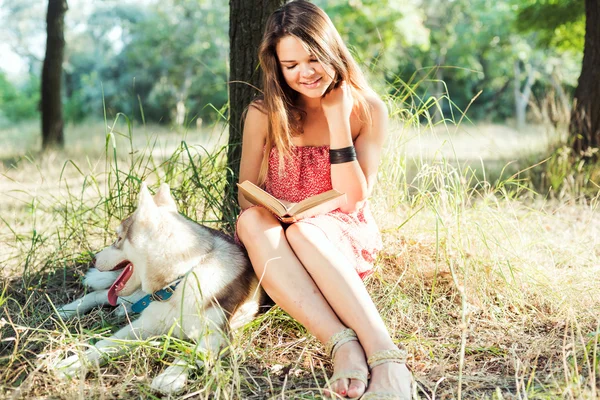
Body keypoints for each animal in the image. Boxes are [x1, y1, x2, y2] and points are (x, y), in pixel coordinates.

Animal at [54, 184, 264, 394]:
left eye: (118, 238)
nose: (94, 259)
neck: (177, 282)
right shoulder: (145, 324)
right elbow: (107, 343)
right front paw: (74, 362)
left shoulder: (217, 336)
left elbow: (192, 351)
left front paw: (170, 376)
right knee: (101, 294)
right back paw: (68, 310)